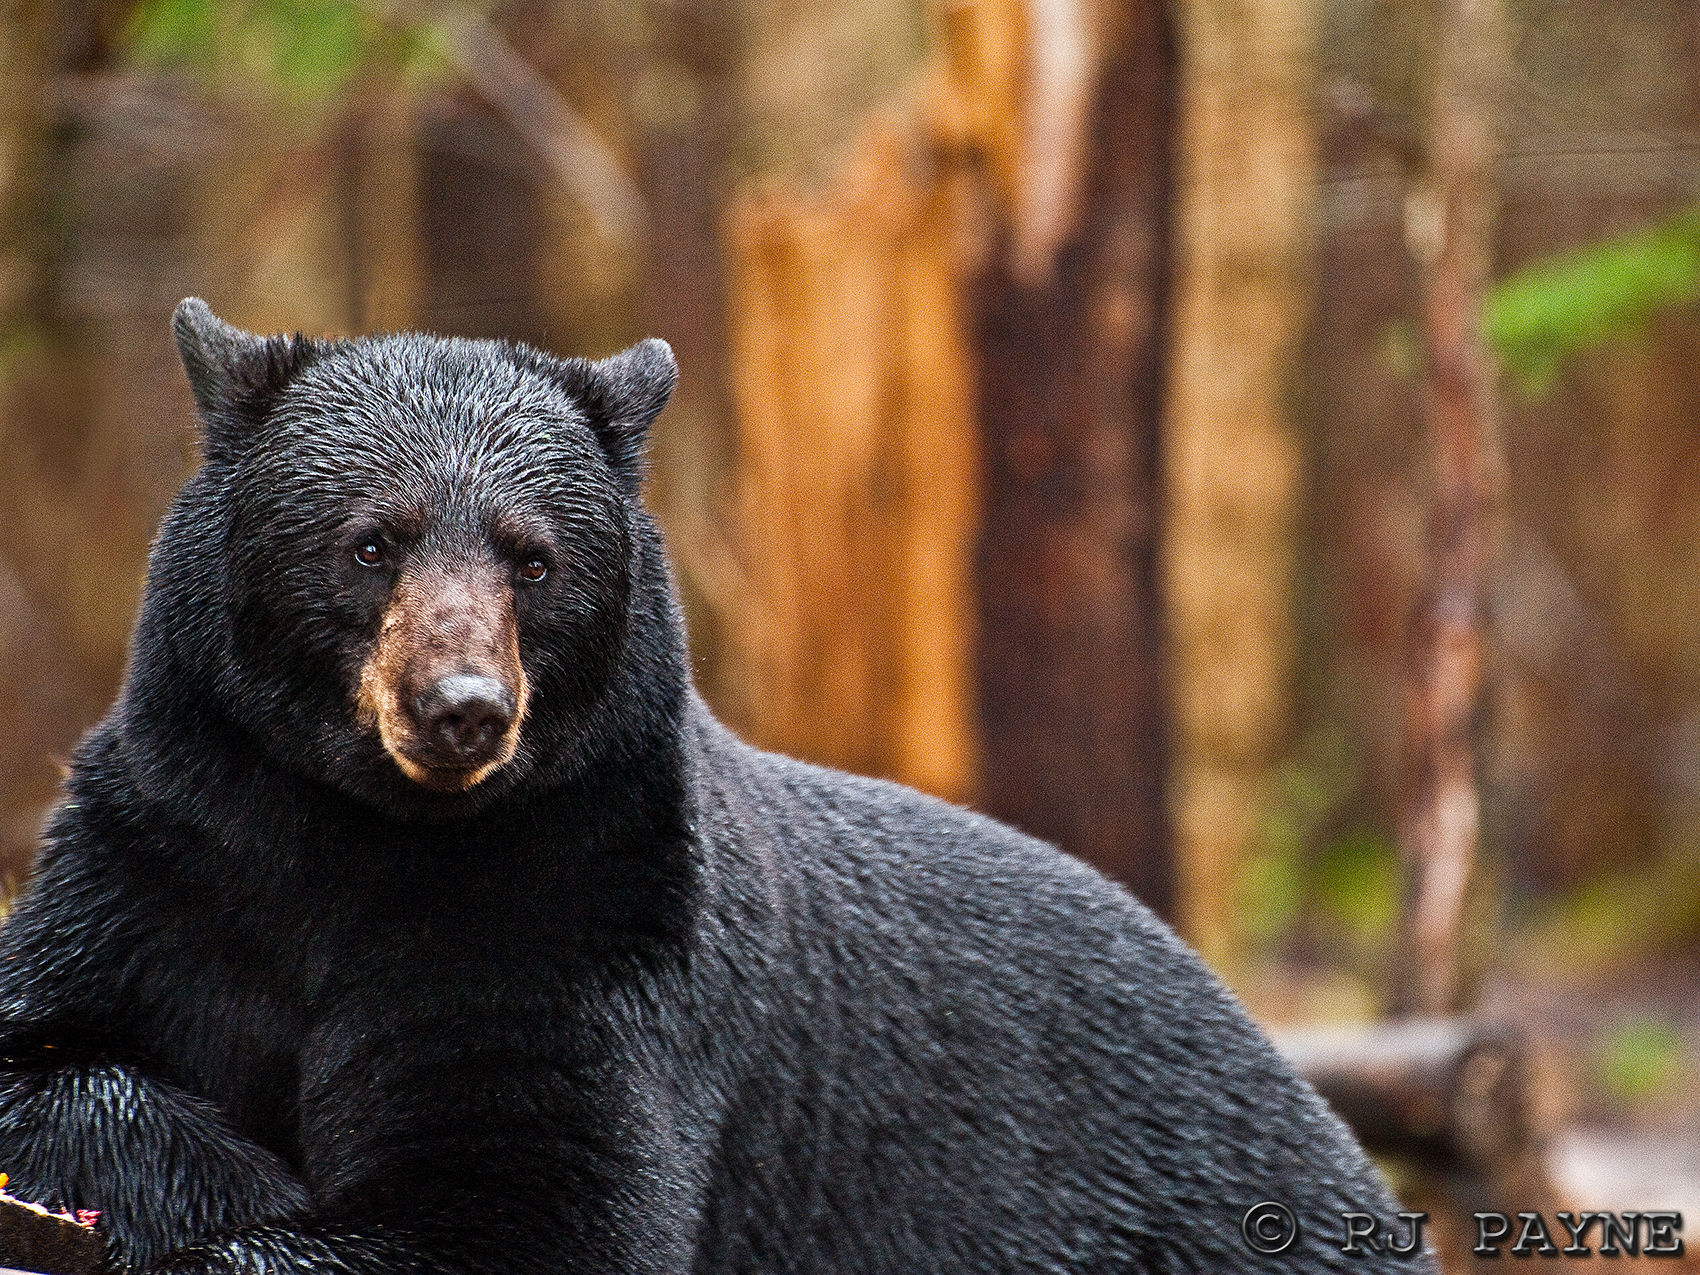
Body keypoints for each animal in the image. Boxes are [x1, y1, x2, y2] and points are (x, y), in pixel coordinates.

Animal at [0, 299, 1431, 1274]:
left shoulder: (583, 919)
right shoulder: (171, 845)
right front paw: (217, 1174)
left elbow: (525, 1201)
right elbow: (48, 1051)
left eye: (533, 560)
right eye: (369, 543)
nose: (461, 710)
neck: (364, 836)